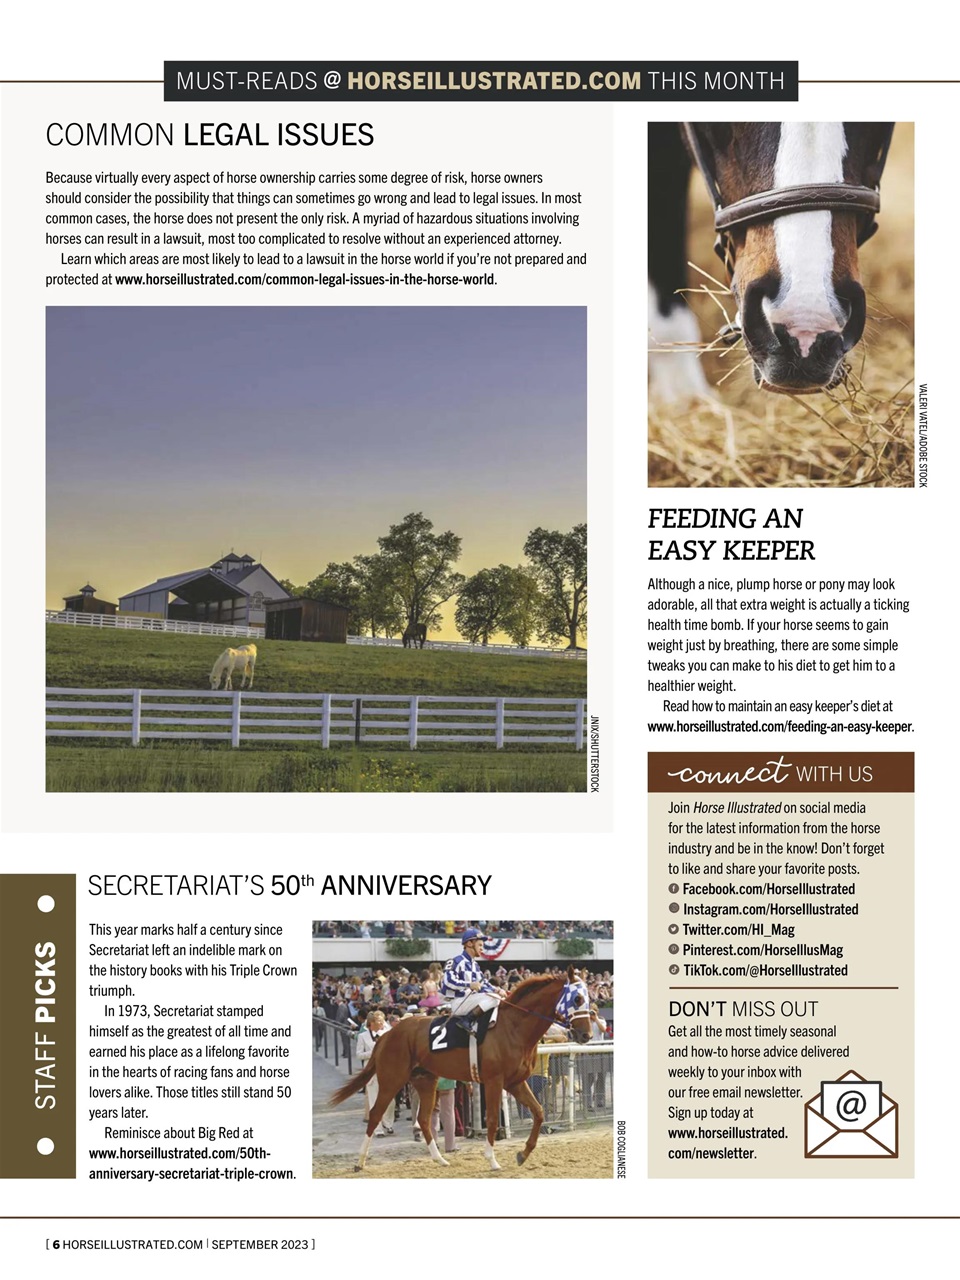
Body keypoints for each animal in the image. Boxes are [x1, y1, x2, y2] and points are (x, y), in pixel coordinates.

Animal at [329, 969, 592, 1172]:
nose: (586, 1035)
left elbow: (538, 1112)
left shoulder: (515, 1082)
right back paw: (360, 1162)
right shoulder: (494, 1081)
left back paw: (440, 1159)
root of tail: (386, 1034)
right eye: (577, 999)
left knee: (424, 1119)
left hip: (426, 1080)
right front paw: (492, 1160)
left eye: (587, 999)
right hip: (392, 1079)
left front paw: (523, 1153)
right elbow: (493, 1119)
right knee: (375, 1115)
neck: (514, 1027)